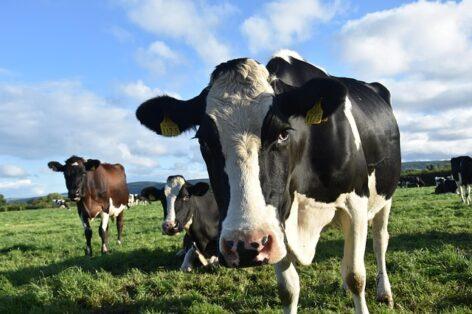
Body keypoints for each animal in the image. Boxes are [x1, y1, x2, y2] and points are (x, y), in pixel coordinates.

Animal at [135, 50, 400, 312]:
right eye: (204, 141)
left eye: (282, 133)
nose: (243, 245)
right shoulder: (276, 220)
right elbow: (288, 289)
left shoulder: (355, 203)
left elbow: (356, 277)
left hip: (384, 198)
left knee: (380, 241)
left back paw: (384, 292)